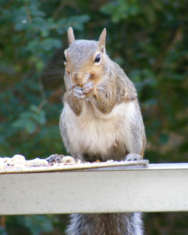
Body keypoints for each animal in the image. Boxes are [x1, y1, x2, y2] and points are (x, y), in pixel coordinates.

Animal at [49, 27, 145, 235]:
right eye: (65, 56)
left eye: (98, 58)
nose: (77, 77)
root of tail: (106, 156)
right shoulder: (67, 83)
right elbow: (74, 103)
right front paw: (75, 93)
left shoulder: (114, 85)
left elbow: (106, 105)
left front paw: (91, 90)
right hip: (69, 126)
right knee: (79, 153)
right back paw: (69, 158)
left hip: (133, 124)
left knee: (136, 148)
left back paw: (134, 156)